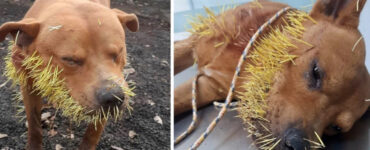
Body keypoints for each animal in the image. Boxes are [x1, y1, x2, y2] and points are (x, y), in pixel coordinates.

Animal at [0, 0, 139, 149]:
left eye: (118, 53)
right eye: (70, 60)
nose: (113, 98)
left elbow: (93, 133)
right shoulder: (28, 85)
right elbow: (33, 122)